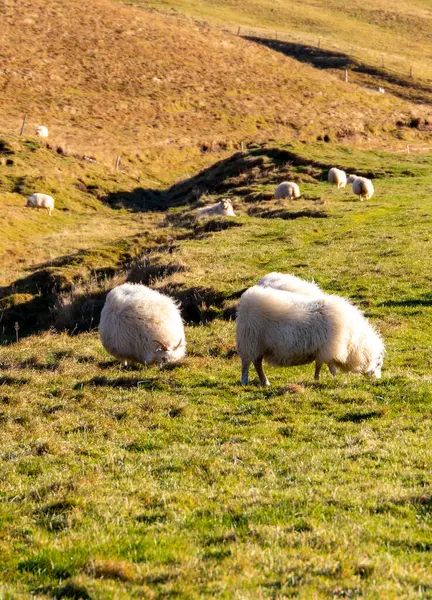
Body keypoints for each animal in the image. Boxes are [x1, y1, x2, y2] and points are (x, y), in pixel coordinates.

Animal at [236, 284, 384, 386]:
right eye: (378, 363)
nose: (378, 378)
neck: (354, 342)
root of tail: (245, 302)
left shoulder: (323, 350)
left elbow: (319, 365)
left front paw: (316, 378)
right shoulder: (330, 348)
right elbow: (330, 366)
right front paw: (334, 378)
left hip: (257, 345)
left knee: (257, 363)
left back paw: (264, 382)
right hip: (250, 341)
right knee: (246, 363)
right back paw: (245, 381)